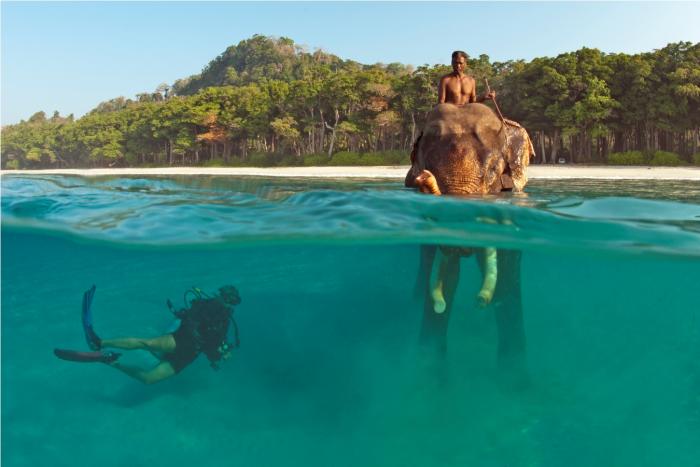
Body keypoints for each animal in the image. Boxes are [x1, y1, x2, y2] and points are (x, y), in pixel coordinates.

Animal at [402, 103, 532, 384]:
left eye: (493, 170)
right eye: (428, 167)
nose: (423, 178)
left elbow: (508, 271)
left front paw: (515, 379)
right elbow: (449, 273)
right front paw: (431, 372)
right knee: (428, 257)